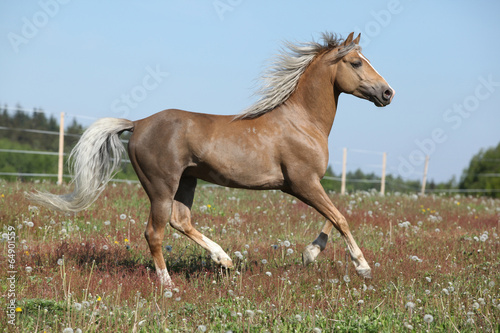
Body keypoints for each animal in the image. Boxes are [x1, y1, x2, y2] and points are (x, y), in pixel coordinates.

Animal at [28, 31, 394, 286]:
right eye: (357, 62)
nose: (388, 93)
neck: (302, 121)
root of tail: (139, 123)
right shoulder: (302, 182)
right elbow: (341, 218)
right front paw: (362, 267)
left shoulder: (306, 184)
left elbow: (334, 216)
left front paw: (309, 254)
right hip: (161, 186)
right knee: (154, 232)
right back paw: (168, 283)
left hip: (187, 181)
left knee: (180, 221)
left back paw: (224, 260)